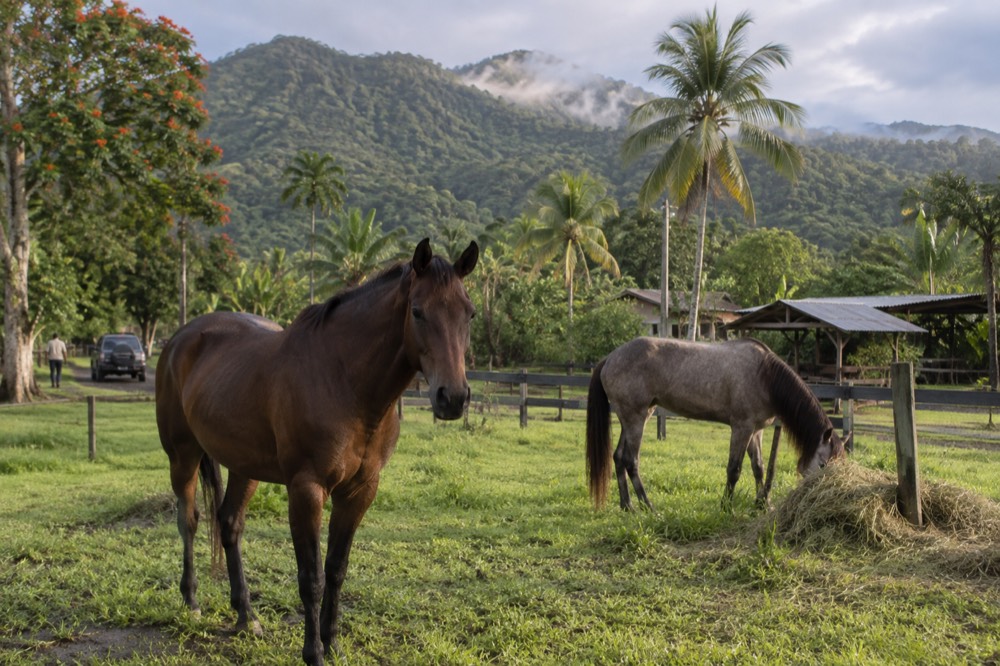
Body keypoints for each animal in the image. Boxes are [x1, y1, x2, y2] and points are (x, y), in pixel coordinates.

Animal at [156, 238, 478, 665]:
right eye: (417, 311)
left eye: (469, 314)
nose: (453, 398)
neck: (344, 381)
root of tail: (180, 337)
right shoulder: (307, 490)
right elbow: (312, 578)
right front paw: (314, 652)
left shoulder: (360, 491)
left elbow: (337, 569)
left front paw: (334, 642)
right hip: (183, 455)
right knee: (189, 520)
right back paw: (191, 602)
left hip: (245, 467)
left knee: (229, 524)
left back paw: (246, 616)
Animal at [586, 337, 850, 511]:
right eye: (823, 464)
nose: (826, 496)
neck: (764, 376)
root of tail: (609, 358)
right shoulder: (741, 427)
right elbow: (734, 469)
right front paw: (726, 506)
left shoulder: (756, 431)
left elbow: (759, 467)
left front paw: (763, 503)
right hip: (636, 418)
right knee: (631, 460)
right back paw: (648, 506)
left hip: (633, 418)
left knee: (619, 457)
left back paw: (627, 506)